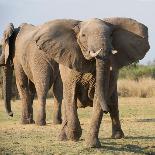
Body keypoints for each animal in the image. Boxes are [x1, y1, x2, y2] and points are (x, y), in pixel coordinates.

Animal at [29, 17, 150, 147]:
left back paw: (117, 136)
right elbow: (70, 95)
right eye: (83, 35)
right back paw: (63, 137)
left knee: (114, 103)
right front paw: (74, 136)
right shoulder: (69, 64)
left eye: (111, 35)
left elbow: (99, 96)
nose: (106, 110)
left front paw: (91, 145)